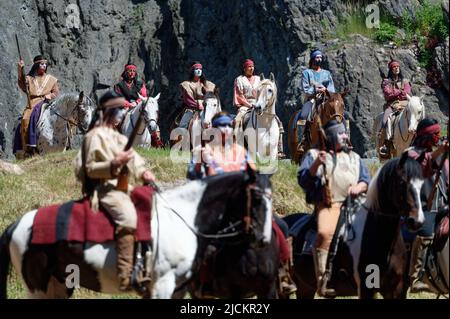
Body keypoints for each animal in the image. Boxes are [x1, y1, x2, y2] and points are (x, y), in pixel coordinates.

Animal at [288, 154, 426, 300]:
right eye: (402, 182)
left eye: (421, 184)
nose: (417, 221)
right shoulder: (366, 289)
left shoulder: (396, 290)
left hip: (305, 287)